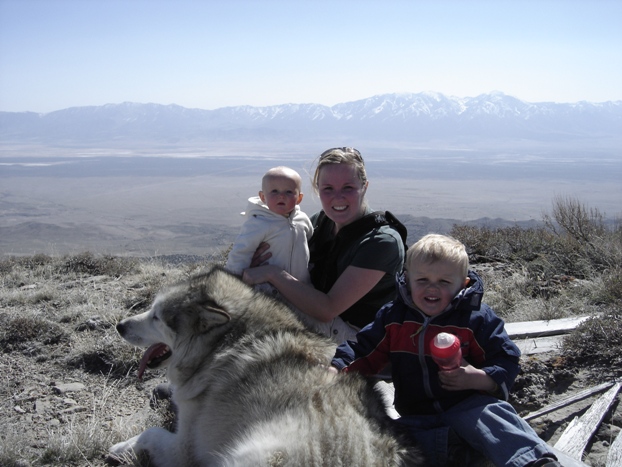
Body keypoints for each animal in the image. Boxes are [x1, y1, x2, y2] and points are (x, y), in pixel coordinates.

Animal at [111, 266, 424, 467]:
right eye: (151, 310)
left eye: (157, 317)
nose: (120, 326)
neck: (225, 344)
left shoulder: (186, 448)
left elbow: (150, 433)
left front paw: (120, 447)